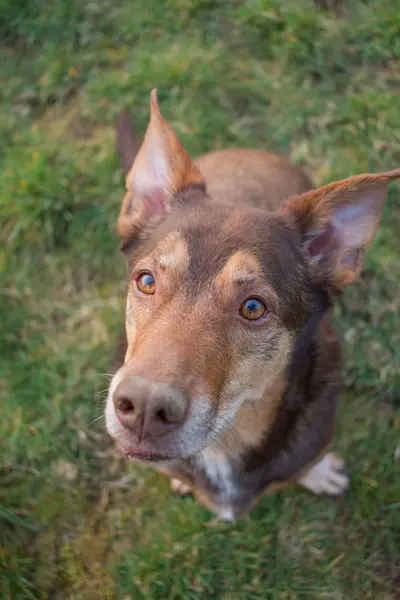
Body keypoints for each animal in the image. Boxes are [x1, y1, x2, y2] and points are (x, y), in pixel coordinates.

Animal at [105, 89, 400, 520]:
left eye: (254, 308)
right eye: (147, 281)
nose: (143, 407)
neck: (225, 444)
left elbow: (307, 463)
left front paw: (319, 473)